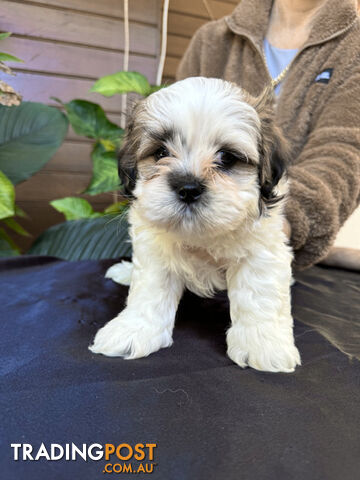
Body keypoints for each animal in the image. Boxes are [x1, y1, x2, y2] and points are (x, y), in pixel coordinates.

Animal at [90, 77, 300, 374]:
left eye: (227, 158)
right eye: (161, 152)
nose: (188, 187)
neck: (201, 235)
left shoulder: (262, 248)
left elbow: (258, 293)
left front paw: (262, 343)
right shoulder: (155, 248)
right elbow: (149, 290)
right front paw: (134, 330)